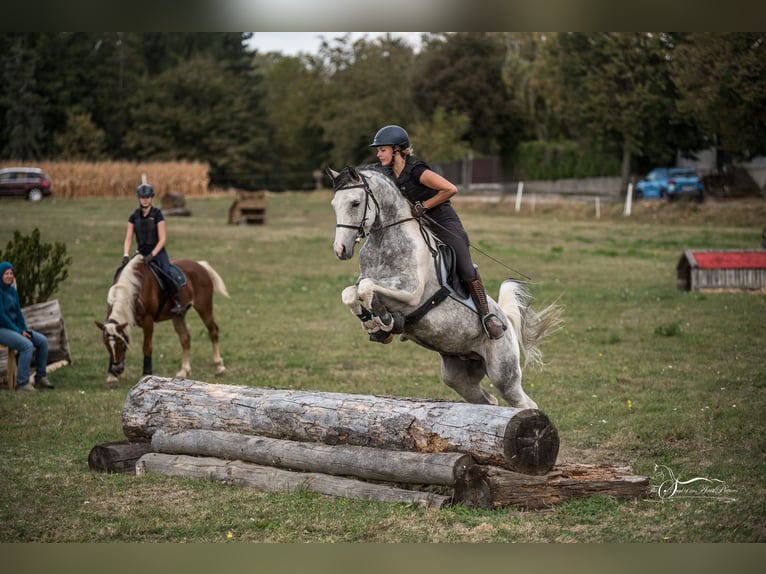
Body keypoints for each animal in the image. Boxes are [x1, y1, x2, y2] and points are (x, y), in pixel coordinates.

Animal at [95, 254, 229, 388]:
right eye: (106, 344)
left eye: (121, 343)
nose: (117, 369)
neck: (134, 287)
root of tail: (200, 265)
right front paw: (111, 377)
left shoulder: (148, 321)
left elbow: (147, 347)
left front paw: (146, 374)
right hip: (178, 315)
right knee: (185, 338)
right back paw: (184, 371)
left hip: (204, 307)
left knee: (213, 331)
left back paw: (219, 367)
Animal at [328, 165, 562, 409]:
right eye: (334, 204)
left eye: (355, 203)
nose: (340, 249)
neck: (385, 240)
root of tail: (505, 318)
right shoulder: (369, 282)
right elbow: (351, 292)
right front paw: (373, 325)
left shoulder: (411, 291)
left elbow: (366, 288)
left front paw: (384, 320)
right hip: (459, 376)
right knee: (488, 400)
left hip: (503, 373)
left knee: (524, 403)